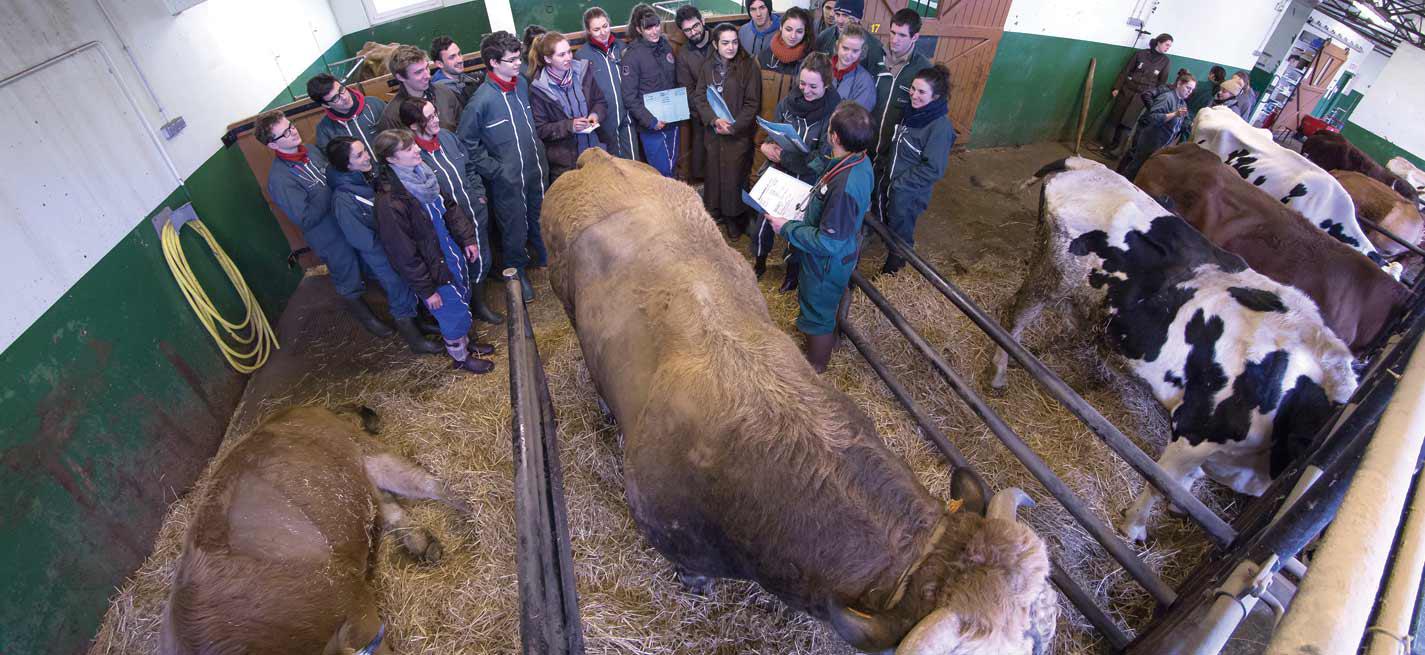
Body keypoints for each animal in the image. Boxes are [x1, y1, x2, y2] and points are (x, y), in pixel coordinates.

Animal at [160, 404, 473, 655]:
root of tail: (295, 408)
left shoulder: (356, 611)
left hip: (365, 451)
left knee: (428, 483)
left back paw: (473, 509)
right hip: (359, 480)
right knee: (388, 505)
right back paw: (424, 544)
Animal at [991, 157, 1356, 541]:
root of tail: (1083, 164)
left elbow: (1189, 483)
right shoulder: (1195, 430)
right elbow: (1163, 483)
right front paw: (1133, 526)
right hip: (1050, 276)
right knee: (1013, 318)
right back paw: (1000, 372)